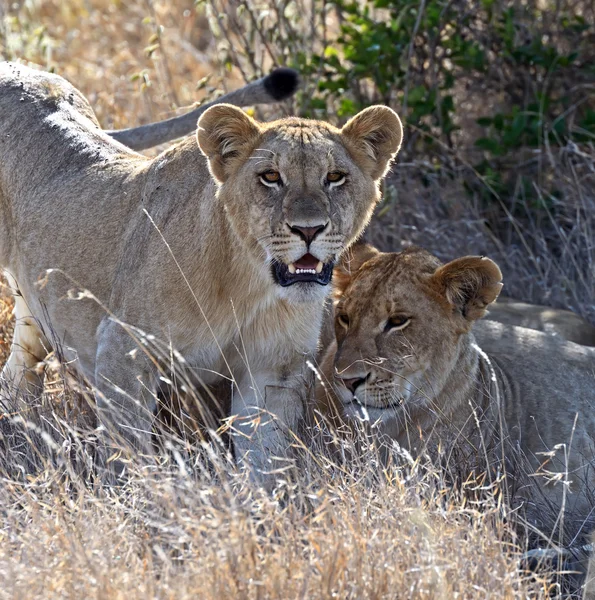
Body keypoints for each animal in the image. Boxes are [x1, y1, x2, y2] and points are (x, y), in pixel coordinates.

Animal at [0, 63, 406, 480]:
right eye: (271, 177)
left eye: (336, 177)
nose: (308, 230)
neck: (248, 283)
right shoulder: (123, 347)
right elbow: (128, 451)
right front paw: (142, 493)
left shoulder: (273, 370)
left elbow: (264, 460)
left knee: (18, 371)